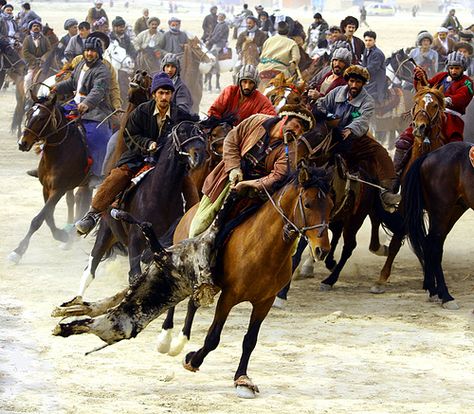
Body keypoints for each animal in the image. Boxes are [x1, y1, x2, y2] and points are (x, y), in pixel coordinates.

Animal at [7, 92, 91, 264]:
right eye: (28, 114)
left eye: (42, 118)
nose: (22, 143)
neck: (60, 152)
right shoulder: (46, 188)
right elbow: (48, 217)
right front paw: (62, 235)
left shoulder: (59, 189)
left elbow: (38, 219)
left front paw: (18, 251)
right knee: (83, 202)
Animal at [52, 163, 334, 400]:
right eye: (308, 204)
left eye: (331, 204)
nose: (321, 250)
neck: (264, 247)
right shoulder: (229, 295)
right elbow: (213, 337)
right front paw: (193, 360)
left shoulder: (263, 301)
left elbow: (249, 341)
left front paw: (241, 379)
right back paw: (165, 338)